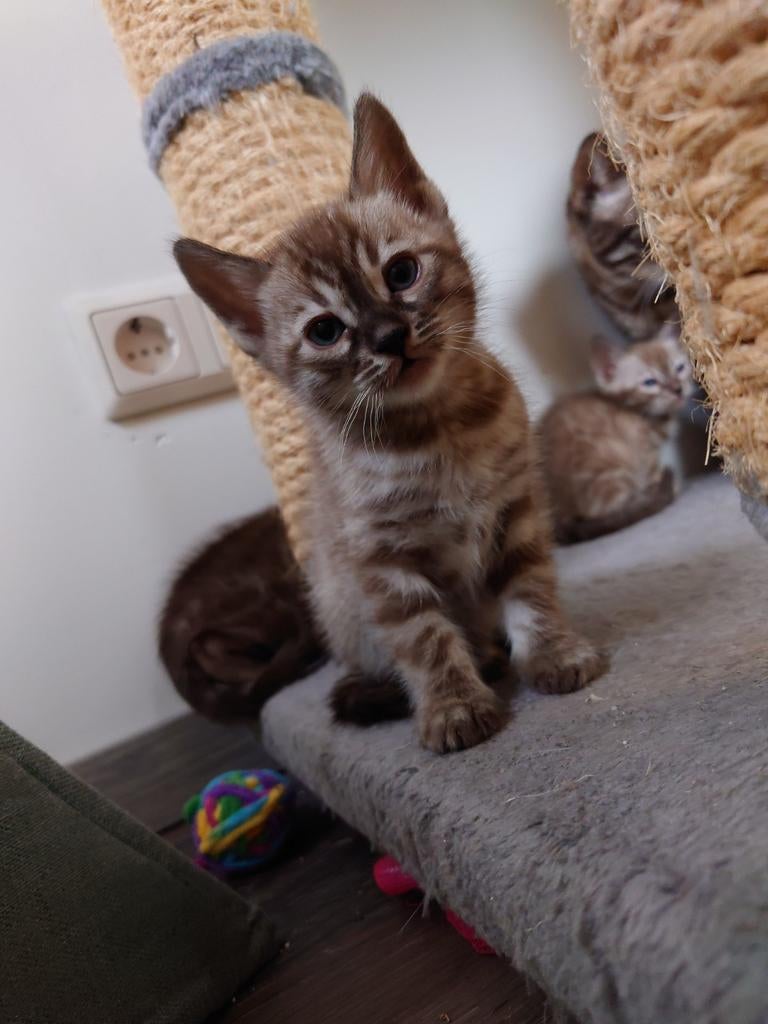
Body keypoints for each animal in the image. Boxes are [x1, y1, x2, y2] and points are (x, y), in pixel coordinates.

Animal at [539, 326, 694, 544]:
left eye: (679, 368)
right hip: (613, 465)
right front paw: (668, 487)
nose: (677, 389)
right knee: (611, 511)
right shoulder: (644, 451)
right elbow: (652, 473)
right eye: (649, 382)